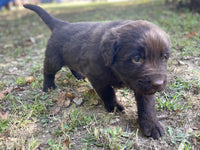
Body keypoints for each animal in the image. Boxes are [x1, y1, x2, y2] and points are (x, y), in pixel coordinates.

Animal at [23, 4, 170, 139]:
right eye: (137, 59)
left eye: (164, 57)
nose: (158, 83)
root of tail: (61, 24)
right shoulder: (98, 78)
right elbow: (108, 93)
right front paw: (114, 107)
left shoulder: (143, 86)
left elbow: (147, 105)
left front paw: (151, 125)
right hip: (54, 59)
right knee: (48, 71)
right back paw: (48, 86)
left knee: (71, 66)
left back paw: (79, 76)